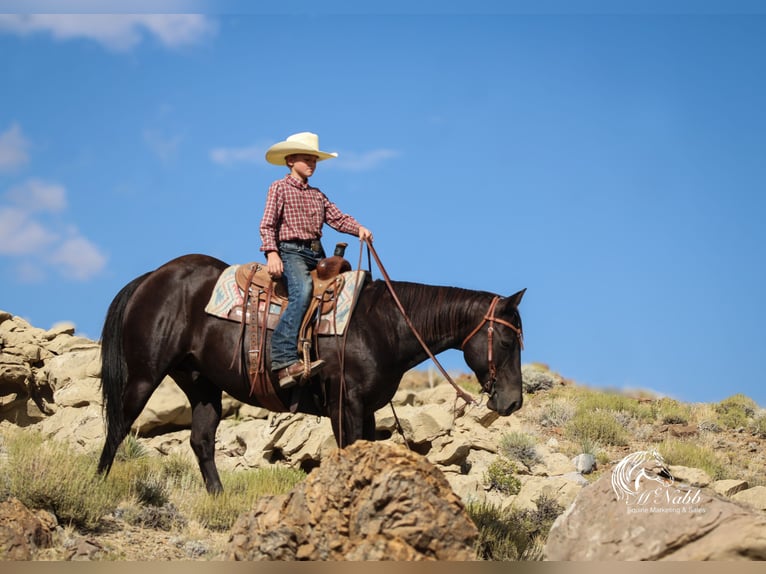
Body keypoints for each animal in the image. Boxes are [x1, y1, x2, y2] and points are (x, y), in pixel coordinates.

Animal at [97, 253, 526, 493]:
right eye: (507, 342)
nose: (513, 402)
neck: (380, 325)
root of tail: (152, 277)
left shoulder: (366, 410)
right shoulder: (343, 404)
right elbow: (347, 453)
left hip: (201, 384)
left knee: (201, 441)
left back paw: (219, 497)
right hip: (144, 375)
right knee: (118, 427)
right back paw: (99, 484)